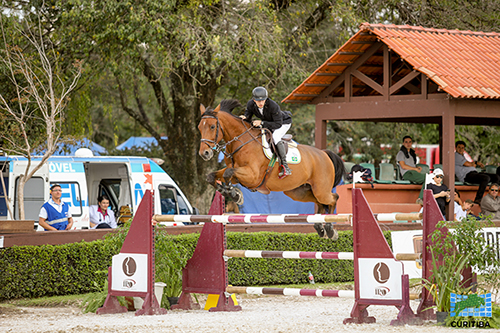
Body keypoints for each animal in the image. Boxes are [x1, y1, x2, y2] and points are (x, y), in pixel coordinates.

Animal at [197, 97, 346, 214]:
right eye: (199, 127)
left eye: (212, 127)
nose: (204, 153)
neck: (241, 142)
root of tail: (324, 153)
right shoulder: (238, 174)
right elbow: (212, 176)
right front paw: (229, 192)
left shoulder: (252, 176)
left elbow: (228, 173)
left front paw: (234, 194)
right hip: (299, 191)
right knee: (321, 203)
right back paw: (323, 228)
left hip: (321, 190)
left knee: (334, 198)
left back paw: (330, 226)